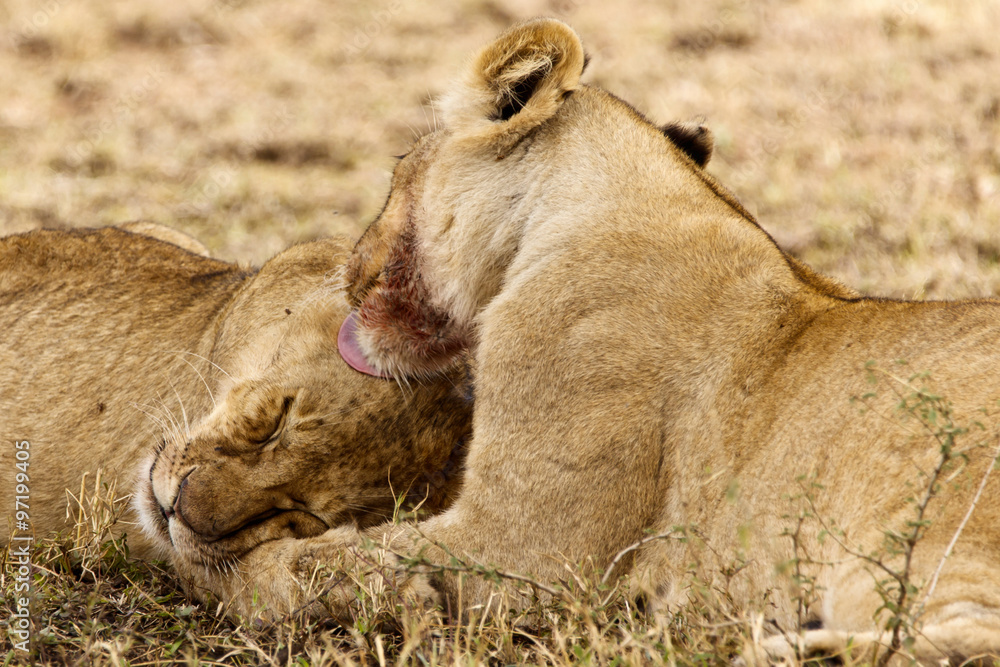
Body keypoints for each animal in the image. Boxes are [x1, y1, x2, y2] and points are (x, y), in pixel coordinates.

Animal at [0, 225, 471, 607]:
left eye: (308, 513)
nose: (174, 509)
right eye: (278, 421)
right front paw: (385, 582)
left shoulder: (184, 554)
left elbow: (265, 573)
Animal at [187, 19, 1000, 663]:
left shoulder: (526, 550)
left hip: (917, 535)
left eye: (397, 168)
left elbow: (319, 562)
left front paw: (216, 554)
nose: (352, 268)